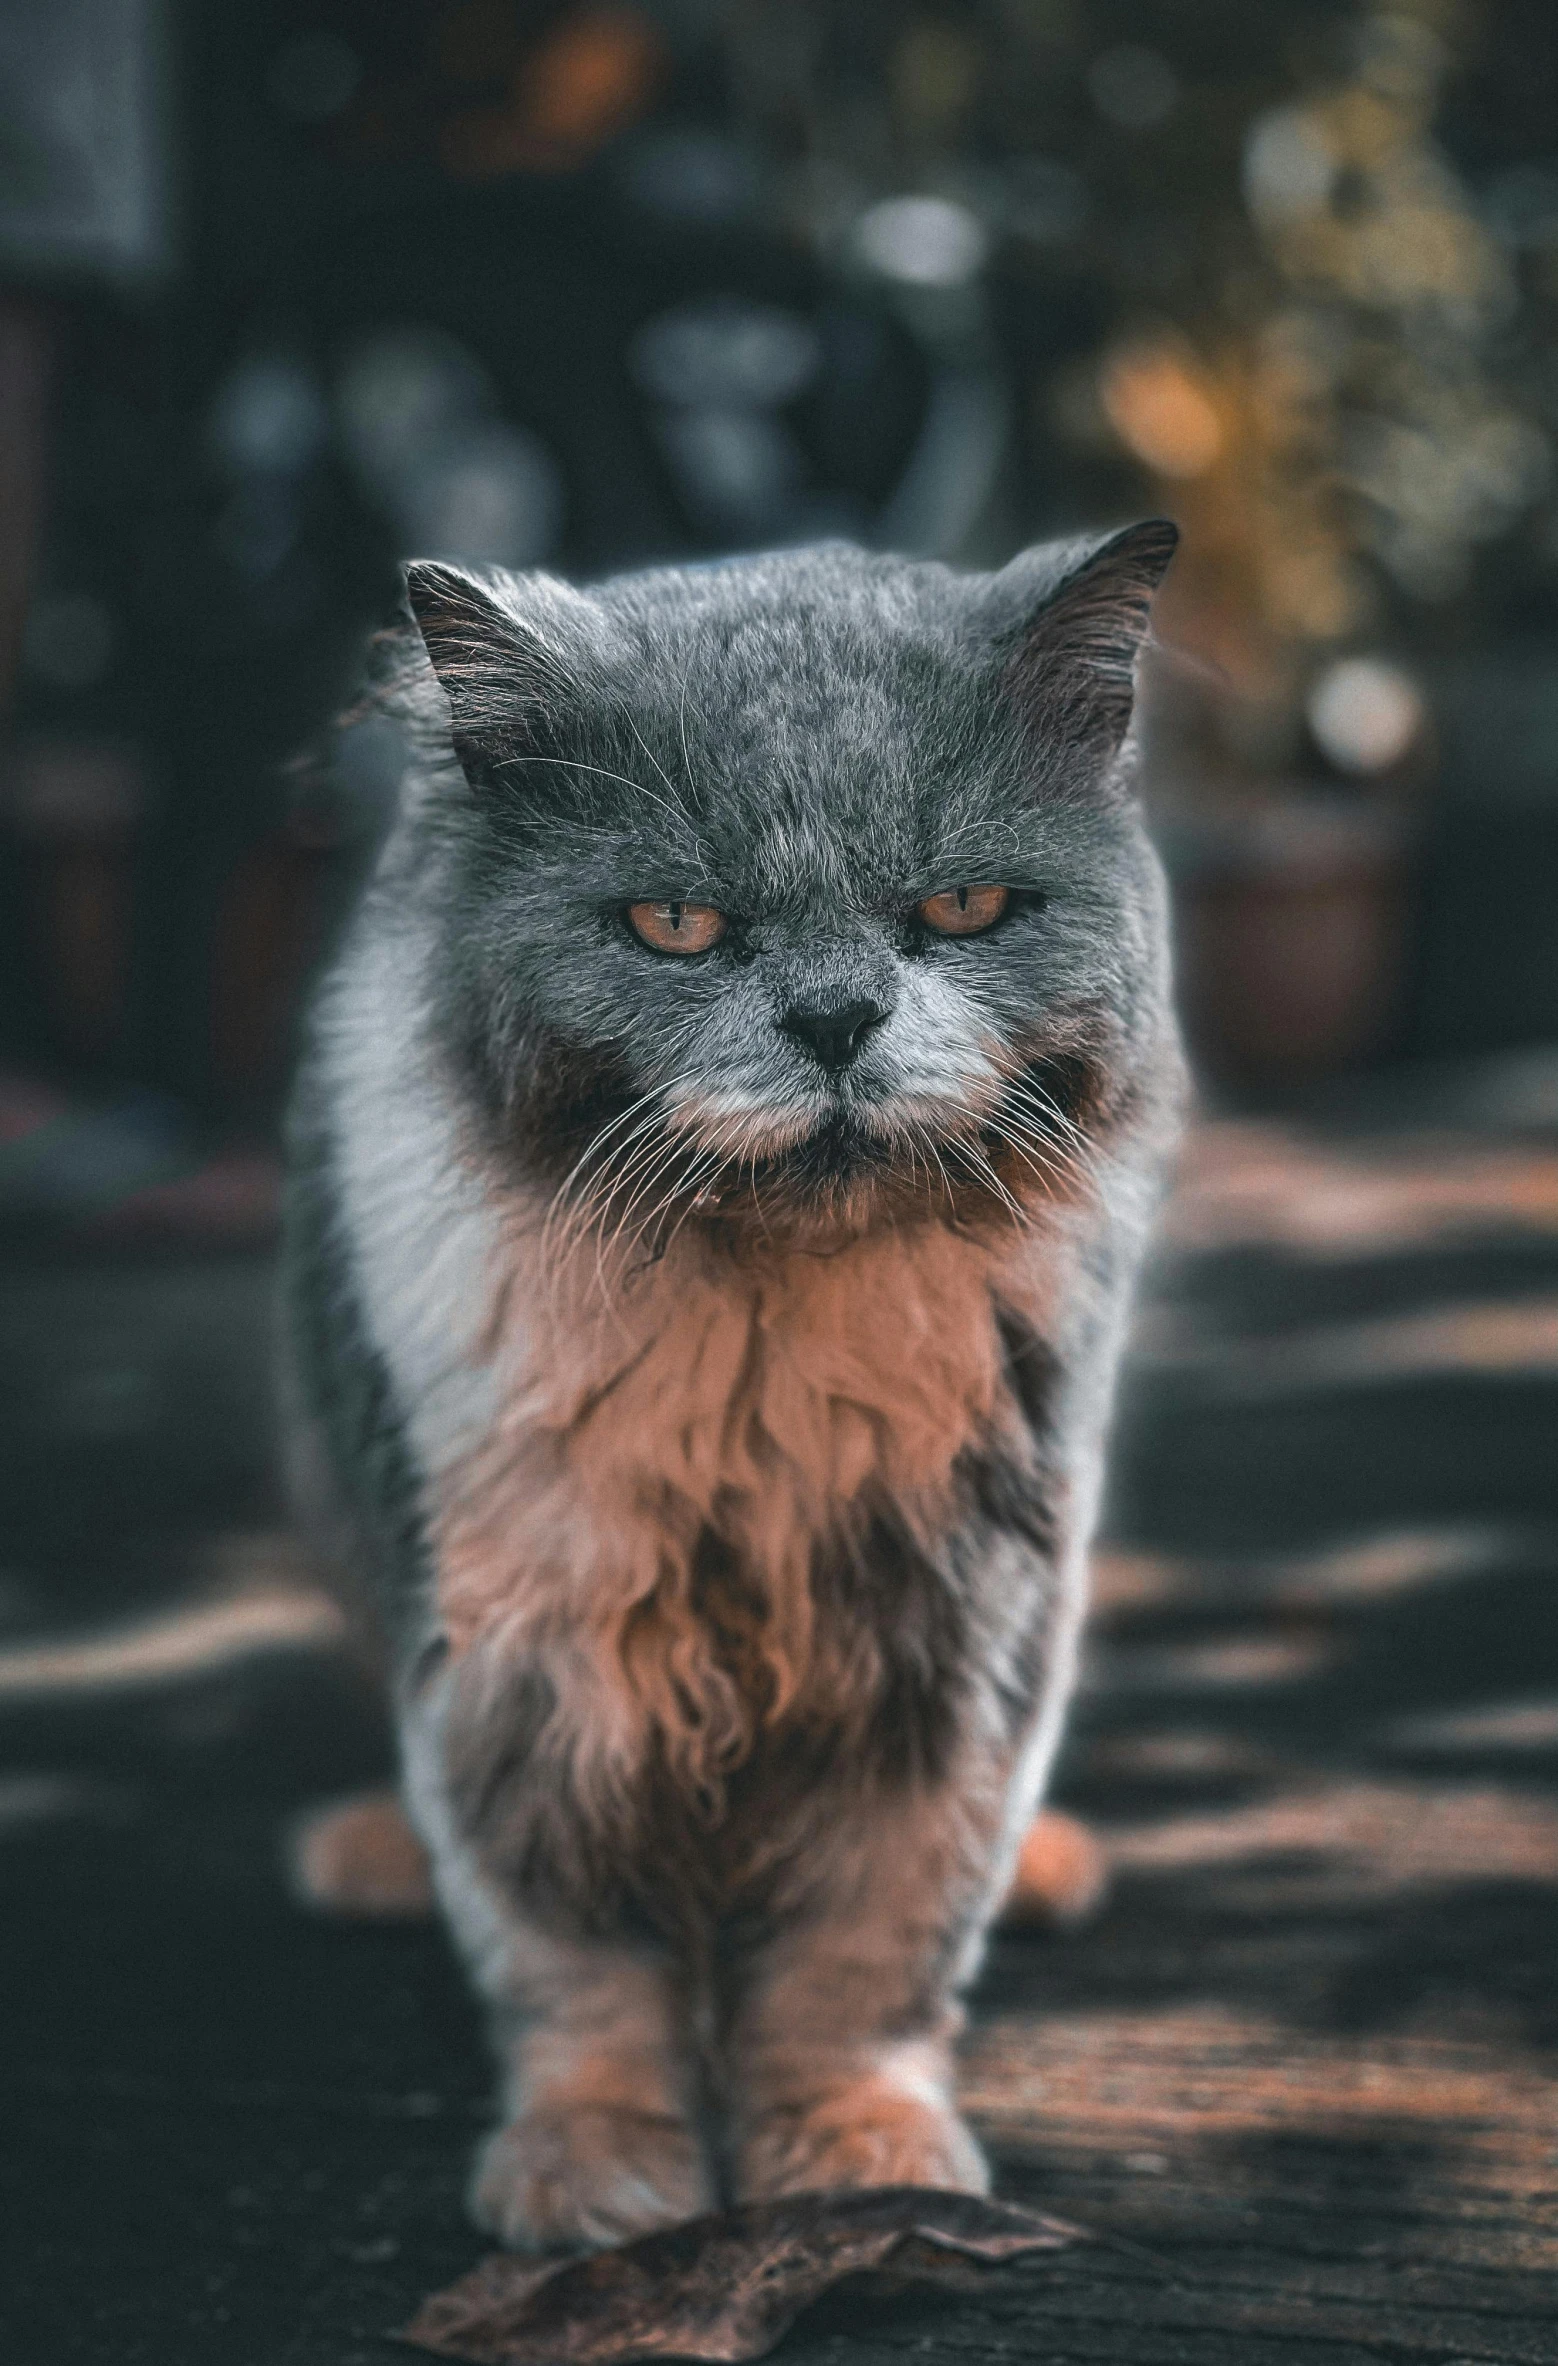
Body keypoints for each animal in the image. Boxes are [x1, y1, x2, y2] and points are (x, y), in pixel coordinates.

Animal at [279, 522, 1179, 2252]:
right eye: (675, 928)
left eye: (963, 905)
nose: (834, 1020)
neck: (767, 1331)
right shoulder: (519, 1663)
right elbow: (574, 1972)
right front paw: (599, 2182)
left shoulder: (954, 1644)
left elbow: (864, 1966)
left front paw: (858, 2159)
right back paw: (360, 1856)